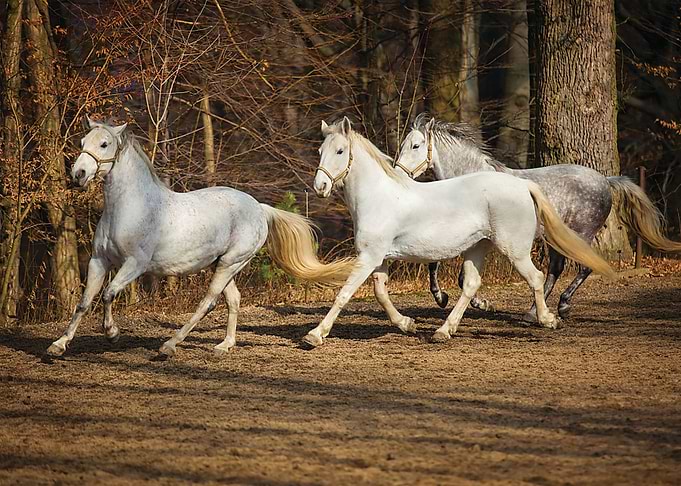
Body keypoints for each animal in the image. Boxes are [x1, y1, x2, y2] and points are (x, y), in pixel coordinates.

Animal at [47, 117, 355, 358]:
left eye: (104, 144)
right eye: (82, 141)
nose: (78, 174)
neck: (129, 207)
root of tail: (258, 207)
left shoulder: (135, 264)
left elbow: (109, 294)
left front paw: (112, 333)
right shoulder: (99, 260)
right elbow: (84, 302)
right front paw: (58, 346)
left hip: (230, 263)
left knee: (208, 302)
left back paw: (170, 345)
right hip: (223, 264)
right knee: (234, 299)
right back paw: (224, 345)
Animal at [303, 117, 615, 347]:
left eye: (340, 151)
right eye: (319, 151)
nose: (320, 186)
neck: (379, 196)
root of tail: (523, 186)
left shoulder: (369, 257)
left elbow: (344, 293)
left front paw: (315, 336)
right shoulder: (379, 258)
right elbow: (381, 293)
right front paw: (406, 324)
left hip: (516, 249)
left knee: (539, 276)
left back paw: (546, 318)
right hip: (478, 247)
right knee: (472, 285)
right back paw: (444, 331)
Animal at [394, 114, 681, 321]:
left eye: (416, 145)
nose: (398, 174)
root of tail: (605, 181)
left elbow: (457, 275)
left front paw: (472, 302)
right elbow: (439, 266)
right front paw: (453, 299)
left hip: (580, 235)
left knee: (584, 267)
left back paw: (562, 306)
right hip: (556, 239)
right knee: (555, 270)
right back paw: (534, 312)